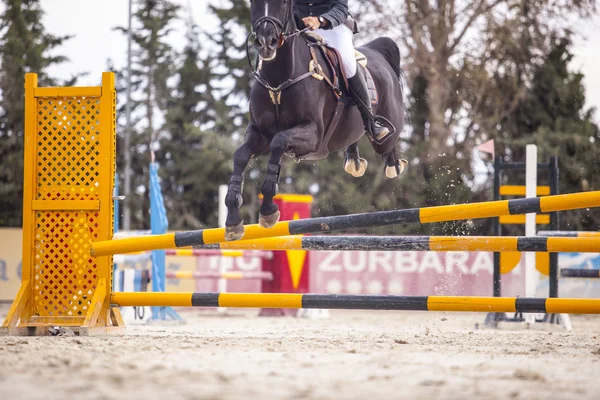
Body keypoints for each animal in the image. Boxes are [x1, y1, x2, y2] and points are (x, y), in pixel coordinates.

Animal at [225, 0, 408, 241]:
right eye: (253, 3)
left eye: (282, 3)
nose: (265, 42)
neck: (279, 79)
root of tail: (378, 54)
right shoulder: (260, 134)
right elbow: (240, 155)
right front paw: (233, 220)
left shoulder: (312, 135)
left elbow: (279, 142)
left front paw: (268, 211)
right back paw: (353, 159)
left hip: (385, 133)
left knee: (388, 144)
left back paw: (392, 158)